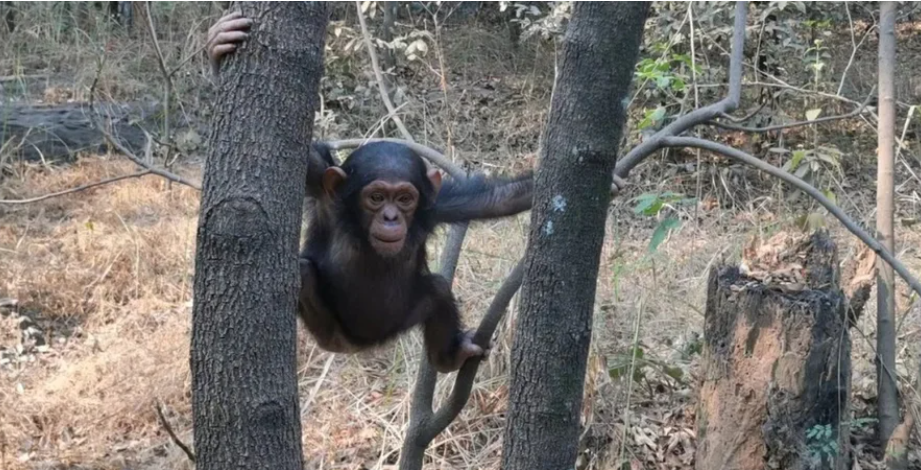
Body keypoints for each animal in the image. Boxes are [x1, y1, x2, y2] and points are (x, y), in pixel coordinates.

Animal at [204, 11, 532, 370]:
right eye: (376, 198)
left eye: (404, 199)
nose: (390, 217)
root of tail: (361, 346)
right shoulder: (325, 191)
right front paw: (218, 49)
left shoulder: (436, 206)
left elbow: (499, 199)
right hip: (333, 334)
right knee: (305, 272)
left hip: (400, 321)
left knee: (437, 290)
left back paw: (449, 356)